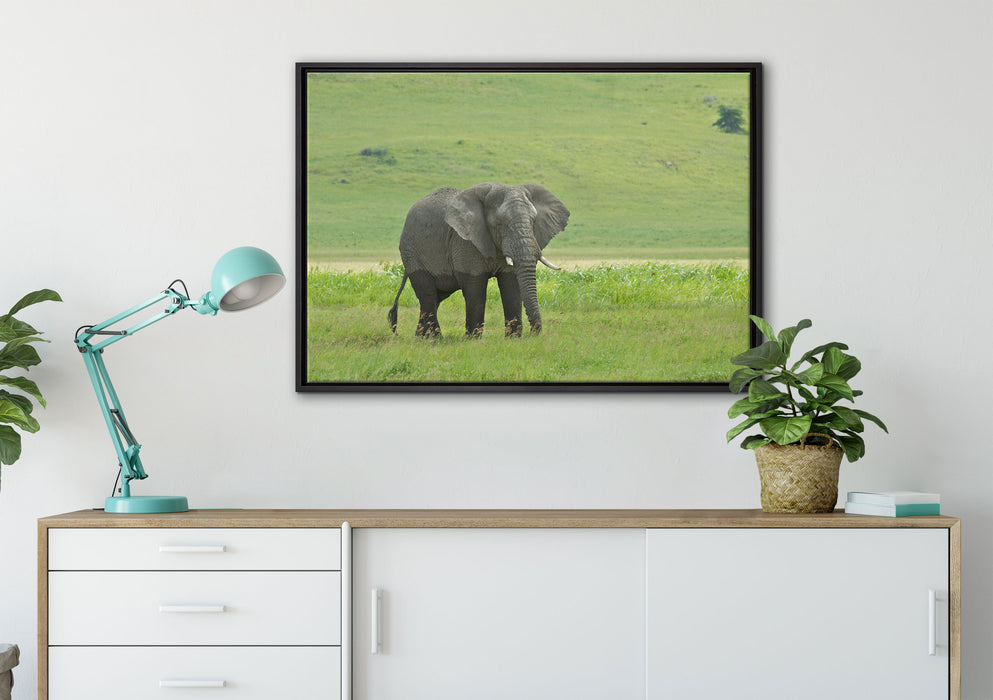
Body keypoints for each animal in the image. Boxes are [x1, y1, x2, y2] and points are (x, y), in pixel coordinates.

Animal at [388, 183, 570, 338]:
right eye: (499, 223)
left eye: (533, 221)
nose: (534, 333)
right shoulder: (464, 241)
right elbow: (475, 288)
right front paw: (473, 339)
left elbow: (511, 285)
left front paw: (513, 339)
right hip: (412, 252)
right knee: (428, 295)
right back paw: (435, 340)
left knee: (436, 298)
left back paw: (421, 338)